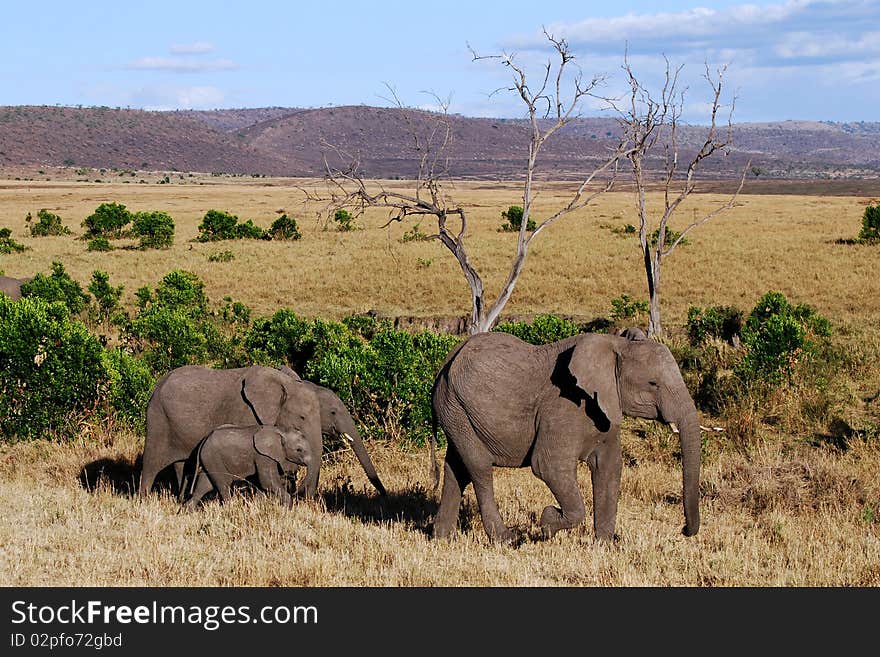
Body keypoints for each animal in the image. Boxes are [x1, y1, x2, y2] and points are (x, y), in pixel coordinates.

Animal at [141, 364, 324, 498]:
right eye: (302, 417)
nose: (301, 494)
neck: (284, 383)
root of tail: (157, 385)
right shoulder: (246, 412)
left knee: (182, 466)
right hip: (158, 420)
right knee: (151, 464)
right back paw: (144, 501)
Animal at [180, 422, 314, 510]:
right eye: (299, 450)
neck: (280, 430)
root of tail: (204, 439)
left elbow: (261, 484)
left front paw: (259, 507)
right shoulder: (263, 456)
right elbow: (266, 481)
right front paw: (288, 508)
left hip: (209, 460)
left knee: (205, 485)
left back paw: (187, 511)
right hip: (213, 457)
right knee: (223, 485)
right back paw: (230, 509)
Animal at [428, 334, 700, 544]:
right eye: (653, 383)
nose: (684, 530)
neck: (617, 343)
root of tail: (447, 359)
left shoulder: (606, 408)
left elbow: (609, 469)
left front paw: (604, 546)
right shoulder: (563, 407)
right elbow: (549, 467)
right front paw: (547, 521)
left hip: (455, 411)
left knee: (457, 468)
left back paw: (442, 538)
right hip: (456, 406)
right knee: (479, 467)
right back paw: (507, 540)